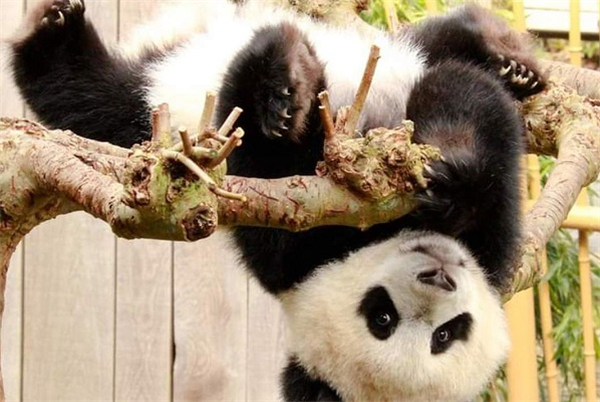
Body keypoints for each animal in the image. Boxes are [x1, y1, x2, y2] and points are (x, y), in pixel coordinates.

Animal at [9, 0, 545, 400]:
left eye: (446, 334)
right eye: (383, 316)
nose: (440, 275)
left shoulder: (488, 254)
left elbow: (467, 100)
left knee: (90, 96)